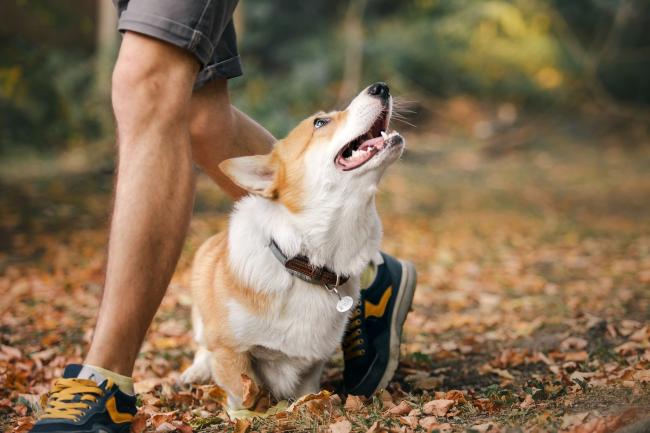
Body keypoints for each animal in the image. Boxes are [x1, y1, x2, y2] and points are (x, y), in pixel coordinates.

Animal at [182, 82, 402, 408]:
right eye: (320, 122)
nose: (381, 87)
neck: (306, 262)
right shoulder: (229, 352)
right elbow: (244, 394)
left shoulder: (313, 362)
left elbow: (307, 390)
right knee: (200, 345)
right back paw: (195, 371)